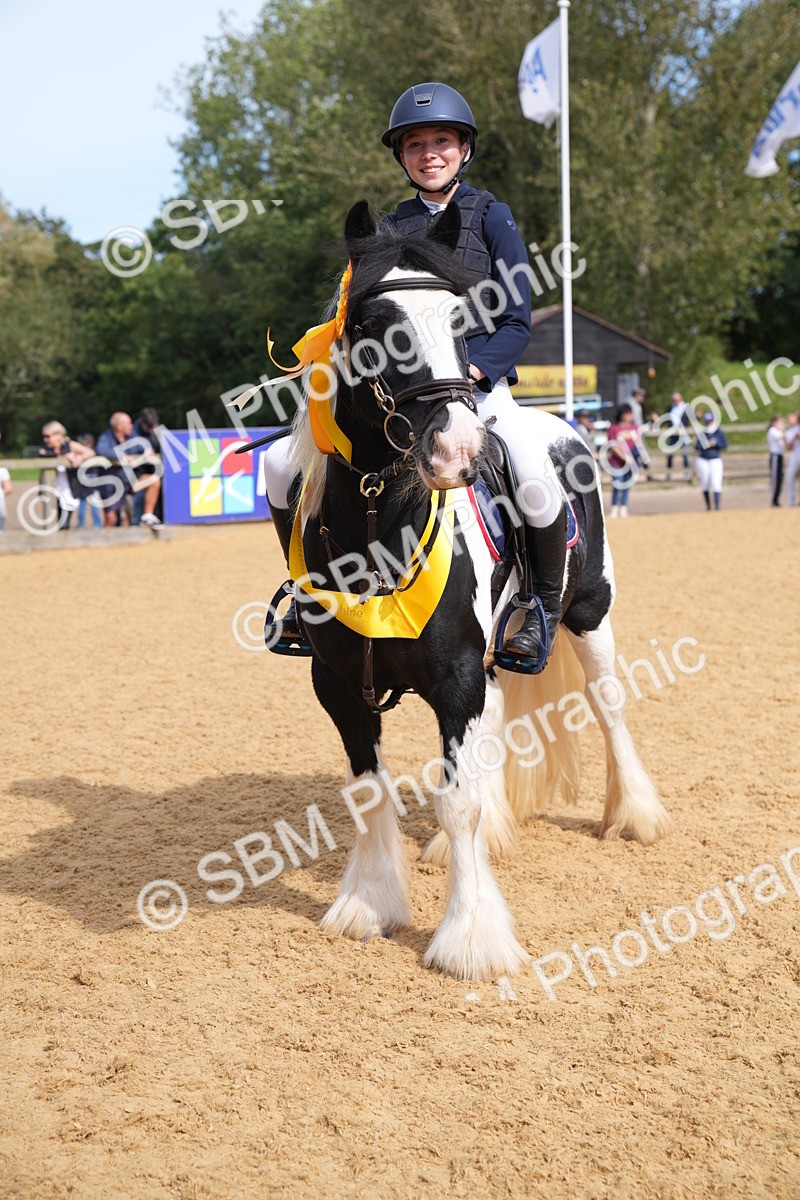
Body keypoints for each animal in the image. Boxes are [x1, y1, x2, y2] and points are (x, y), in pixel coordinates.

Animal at [282, 199, 673, 981]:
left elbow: (455, 801)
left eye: (463, 318)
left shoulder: (457, 675)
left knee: (609, 706)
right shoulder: (338, 683)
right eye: (371, 322)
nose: (457, 450)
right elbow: (368, 791)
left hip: (590, 617)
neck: (380, 526)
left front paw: (470, 939)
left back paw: (635, 817)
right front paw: (369, 904)